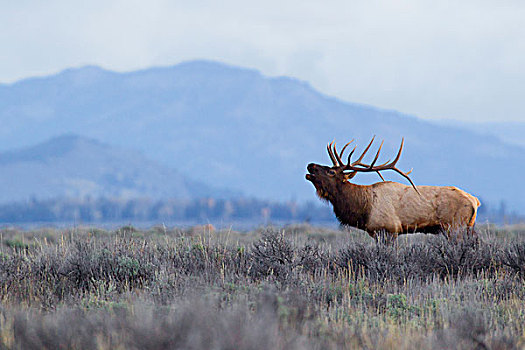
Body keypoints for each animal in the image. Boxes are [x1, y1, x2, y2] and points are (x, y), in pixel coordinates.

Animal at [304, 138, 482, 239]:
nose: (310, 165)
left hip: (455, 226)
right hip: (467, 227)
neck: (363, 208)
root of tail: (475, 201)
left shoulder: (388, 229)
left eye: (331, 171)